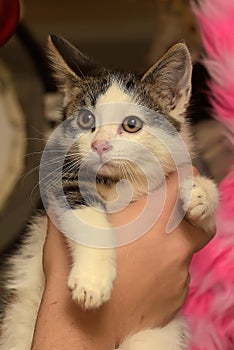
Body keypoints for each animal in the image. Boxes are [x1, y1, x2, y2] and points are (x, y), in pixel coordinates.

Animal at [0, 36, 219, 350]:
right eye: (85, 119)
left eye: (131, 124)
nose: (100, 144)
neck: (120, 182)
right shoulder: (60, 176)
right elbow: (88, 217)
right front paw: (93, 280)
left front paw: (199, 192)